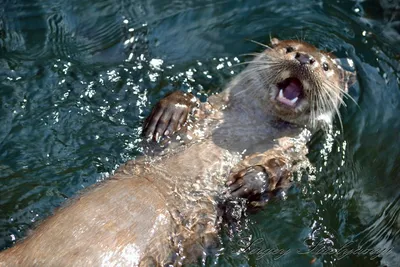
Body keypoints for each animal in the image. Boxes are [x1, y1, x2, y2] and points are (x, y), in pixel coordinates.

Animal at [0, 38, 356, 266]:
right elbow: (163, 129)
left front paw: (249, 181)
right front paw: (172, 110)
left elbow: (278, 177)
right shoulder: (205, 114)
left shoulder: (293, 154)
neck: (240, 132)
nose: (305, 59)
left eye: (326, 66)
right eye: (289, 49)